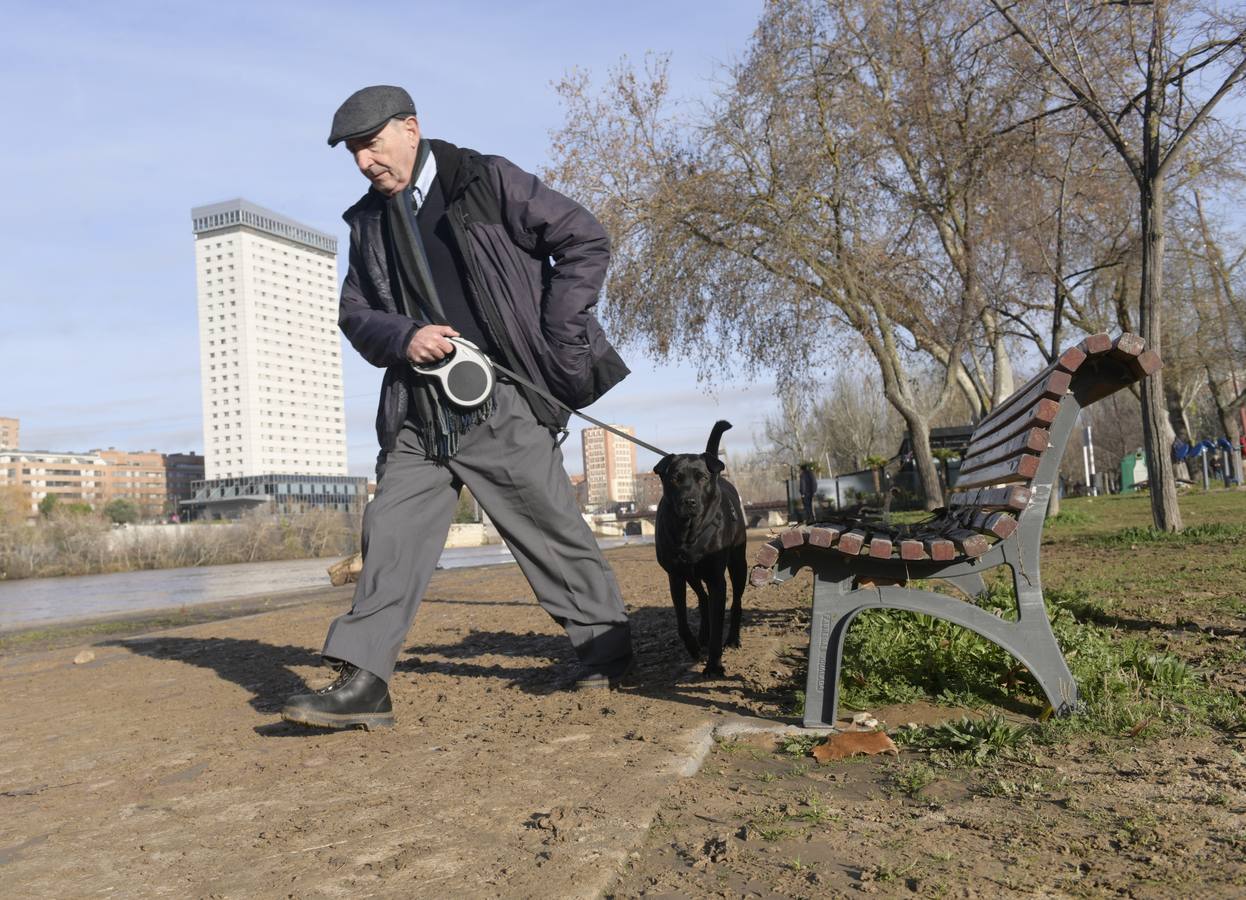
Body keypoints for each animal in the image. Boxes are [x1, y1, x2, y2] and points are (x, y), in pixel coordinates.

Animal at [657, 418, 742, 673]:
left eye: (702, 477)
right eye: (675, 477)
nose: (690, 501)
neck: (688, 533)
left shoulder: (716, 579)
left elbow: (718, 622)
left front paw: (714, 665)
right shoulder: (675, 576)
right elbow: (681, 621)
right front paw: (694, 647)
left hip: (738, 563)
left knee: (736, 602)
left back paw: (732, 638)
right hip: (690, 573)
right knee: (702, 598)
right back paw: (702, 636)